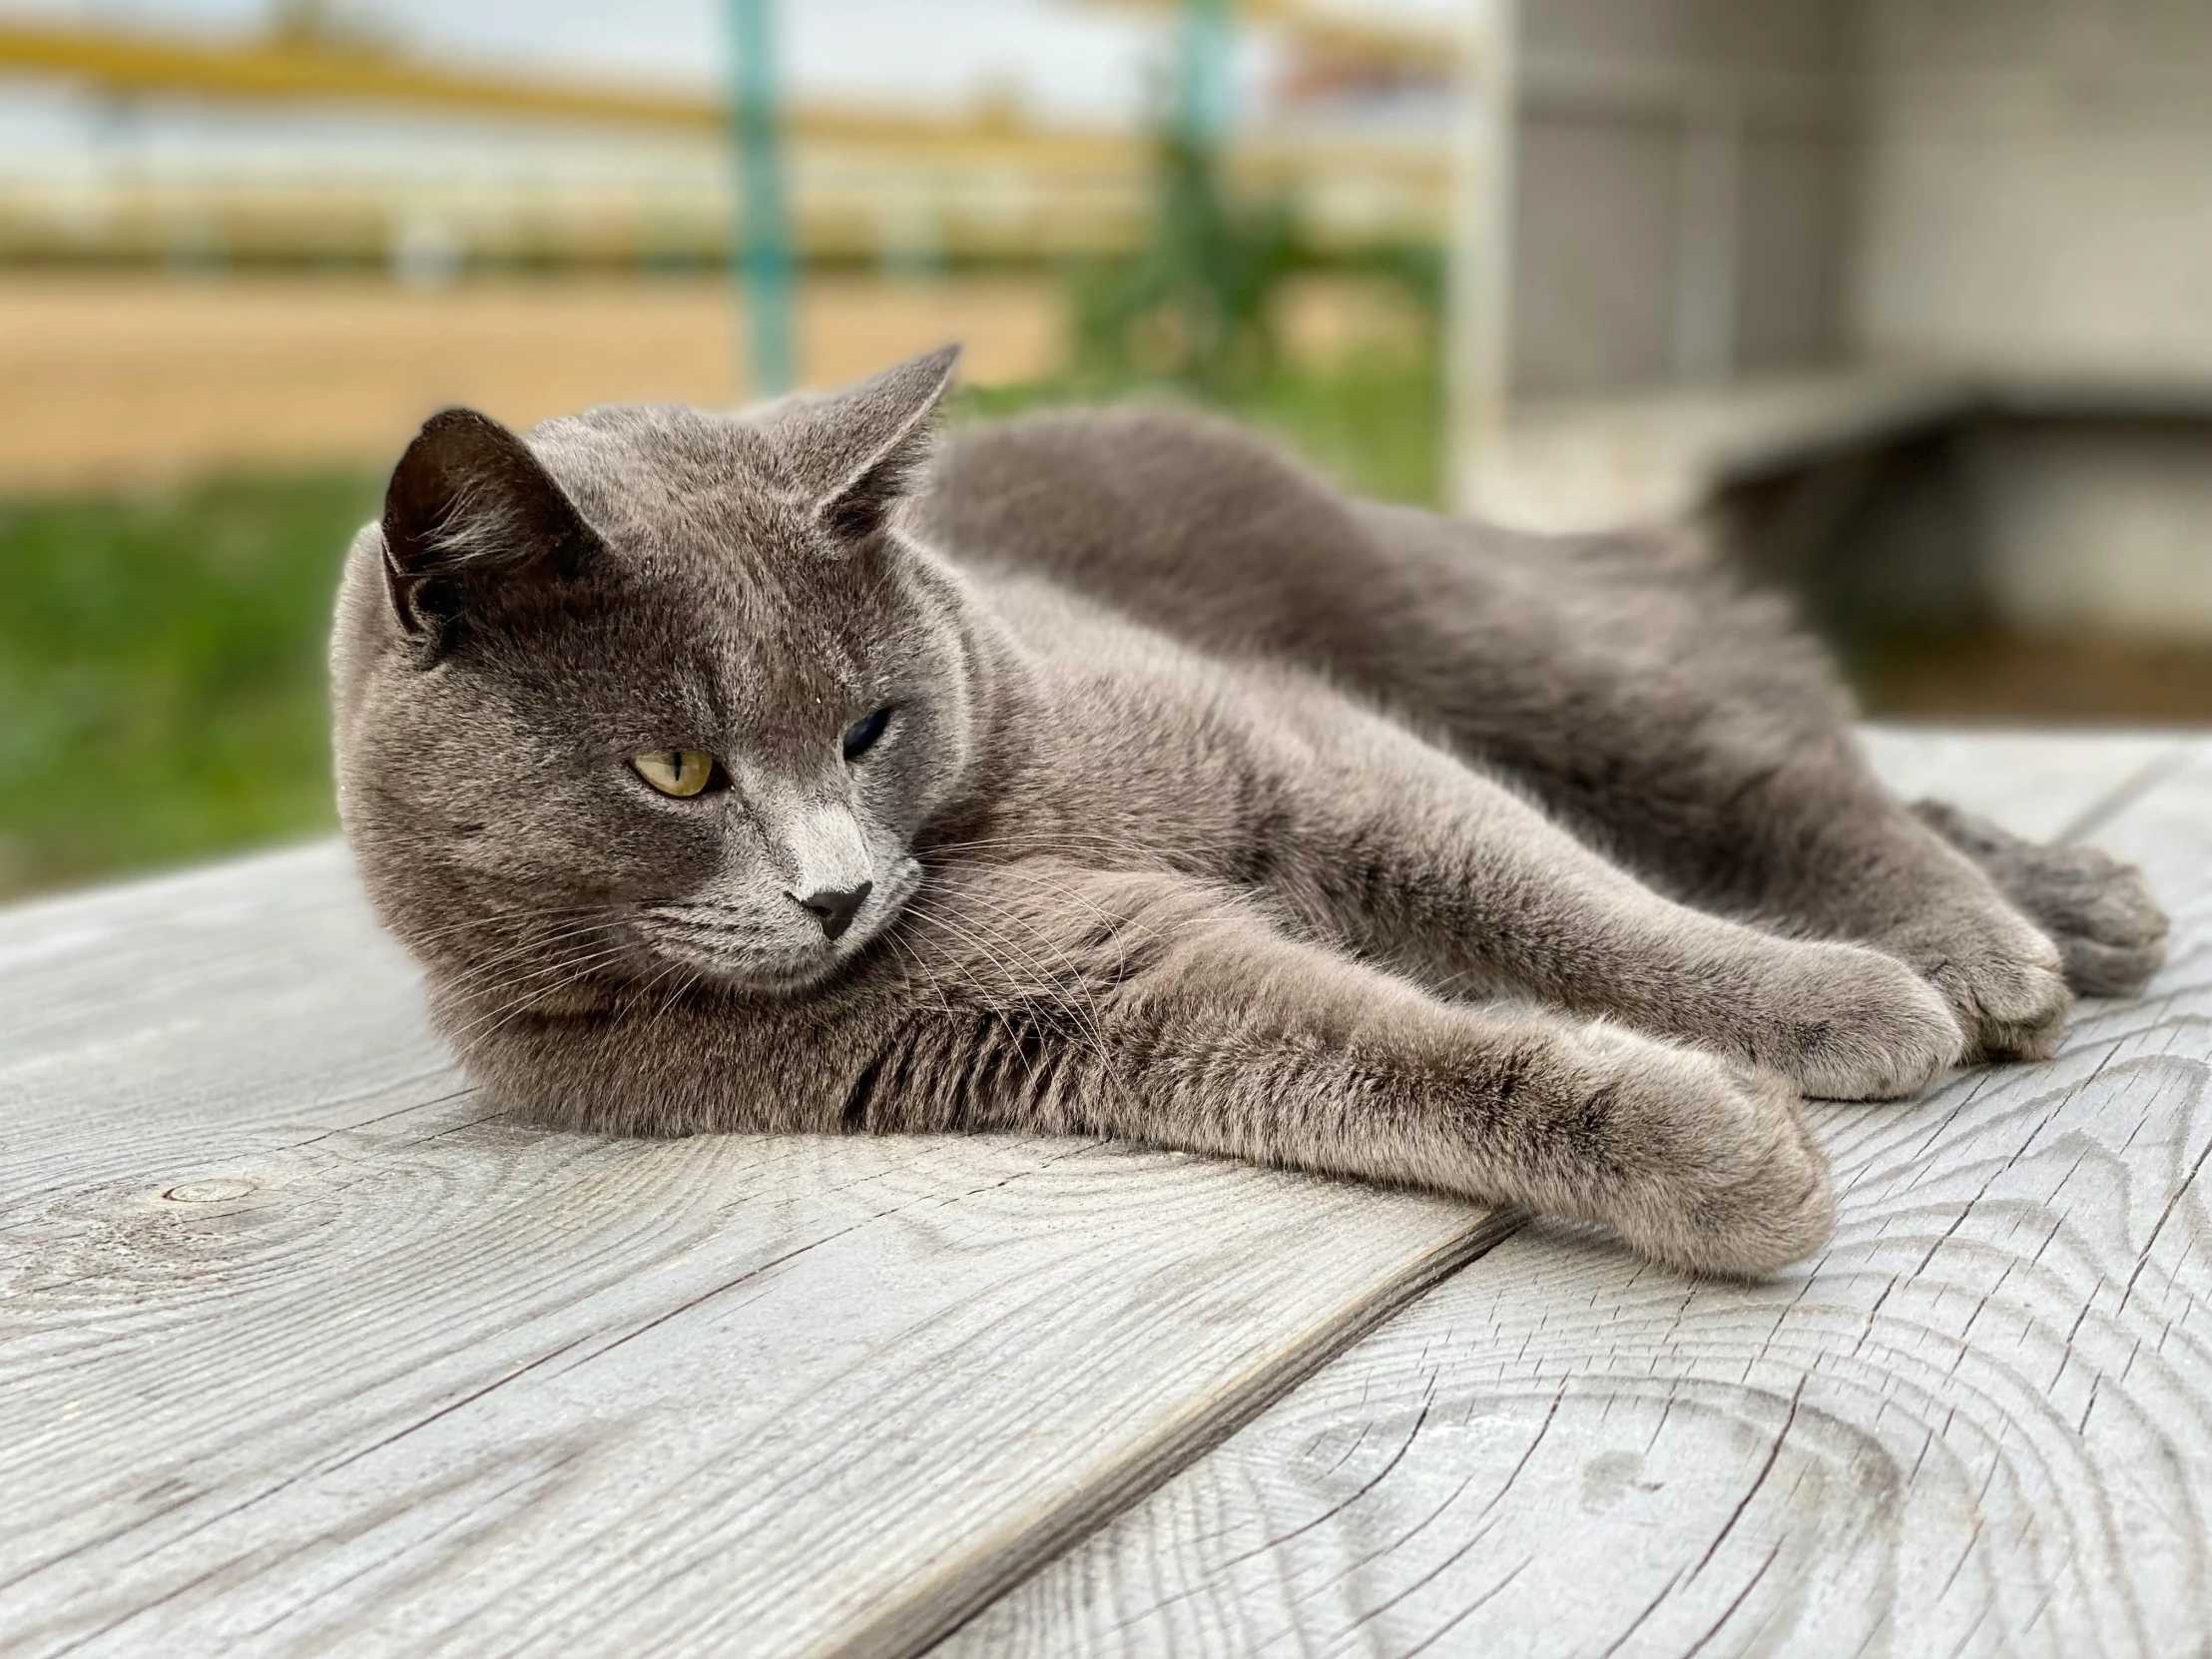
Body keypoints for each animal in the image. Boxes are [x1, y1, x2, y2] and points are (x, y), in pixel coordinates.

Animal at [326, 346, 2158, 1283]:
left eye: (868, 726)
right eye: (679, 773)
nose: (840, 895)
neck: (982, 826)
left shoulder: (1306, 749)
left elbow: (1571, 905)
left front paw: (1824, 999)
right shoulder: (1078, 988)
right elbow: (1379, 1056)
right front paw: (1700, 1148)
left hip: (1481, 642)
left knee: (1767, 765)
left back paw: (1987, 935)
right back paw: (2073, 905)